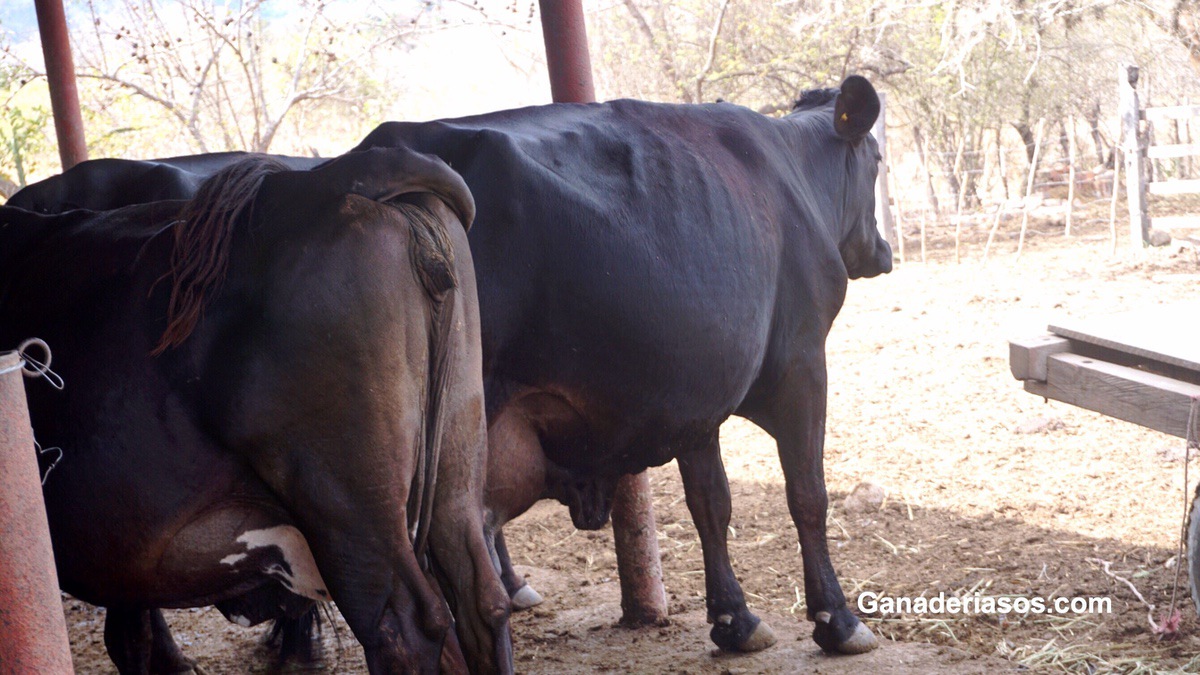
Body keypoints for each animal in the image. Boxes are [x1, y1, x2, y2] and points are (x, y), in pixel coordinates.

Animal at [0, 148, 511, 672]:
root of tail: (336, 174)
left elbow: (129, 638)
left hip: (346, 507)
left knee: (403, 627)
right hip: (456, 461)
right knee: (481, 599)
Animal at [350, 76, 892, 653]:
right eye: (877, 157)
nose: (883, 251)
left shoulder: (697, 393)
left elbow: (710, 503)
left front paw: (734, 620)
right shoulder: (803, 365)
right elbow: (807, 494)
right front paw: (838, 619)